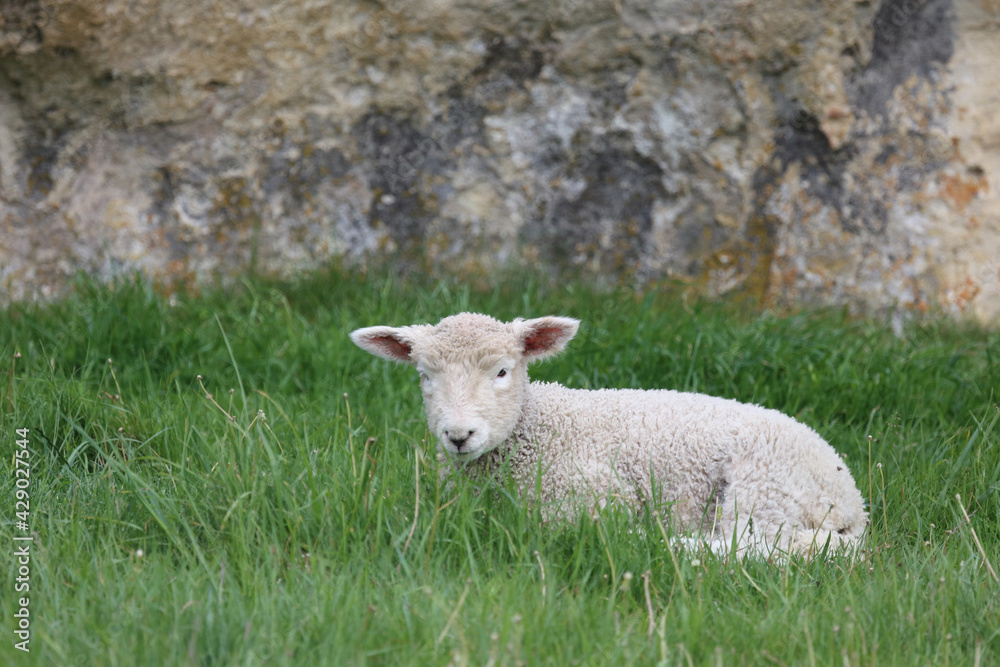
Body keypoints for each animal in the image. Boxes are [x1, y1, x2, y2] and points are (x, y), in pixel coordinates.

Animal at [350, 312, 868, 557]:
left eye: (502, 371)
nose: (459, 435)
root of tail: (853, 502)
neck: (537, 427)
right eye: (424, 376)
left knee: (759, 547)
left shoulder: (597, 494)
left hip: (762, 486)